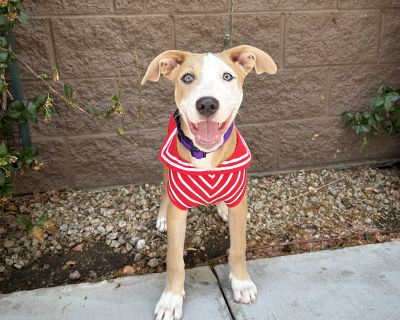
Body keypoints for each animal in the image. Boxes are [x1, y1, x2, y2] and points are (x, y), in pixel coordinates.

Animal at [142, 45, 276, 320]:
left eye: (227, 76)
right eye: (187, 78)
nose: (206, 103)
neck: (206, 154)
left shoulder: (239, 200)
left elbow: (238, 248)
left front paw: (241, 283)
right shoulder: (178, 210)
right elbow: (175, 259)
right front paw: (171, 299)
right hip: (165, 168)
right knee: (163, 192)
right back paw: (161, 216)